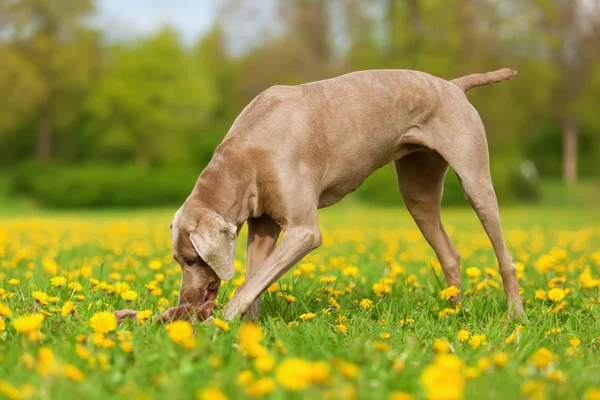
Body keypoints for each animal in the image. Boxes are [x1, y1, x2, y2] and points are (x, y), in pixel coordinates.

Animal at [115, 68, 524, 322]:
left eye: (190, 259)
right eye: (178, 260)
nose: (185, 303)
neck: (244, 157)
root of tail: (454, 85)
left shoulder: (304, 231)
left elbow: (249, 284)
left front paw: (221, 322)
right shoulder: (262, 225)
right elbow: (254, 279)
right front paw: (249, 331)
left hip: (475, 180)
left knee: (504, 255)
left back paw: (514, 316)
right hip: (418, 192)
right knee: (449, 253)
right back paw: (453, 313)